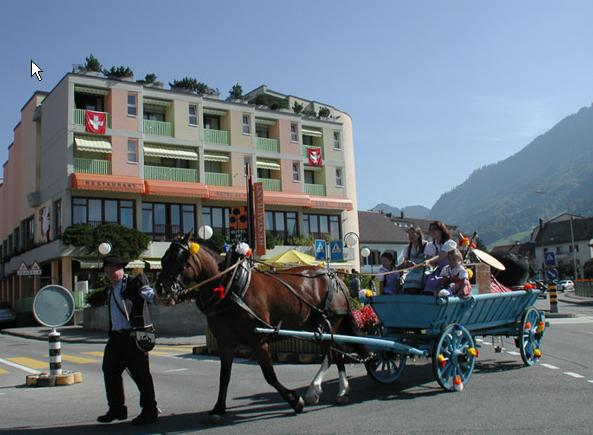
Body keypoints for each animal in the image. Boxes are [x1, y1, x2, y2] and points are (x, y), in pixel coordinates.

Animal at [154, 233, 366, 424]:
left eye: (179, 259)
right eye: (163, 259)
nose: (159, 288)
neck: (231, 286)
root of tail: (335, 278)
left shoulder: (258, 341)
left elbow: (269, 375)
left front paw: (294, 400)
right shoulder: (225, 343)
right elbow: (224, 377)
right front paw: (218, 409)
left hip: (331, 322)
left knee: (331, 353)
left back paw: (320, 390)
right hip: (317, 326)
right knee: (335, 353)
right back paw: (338, 391)